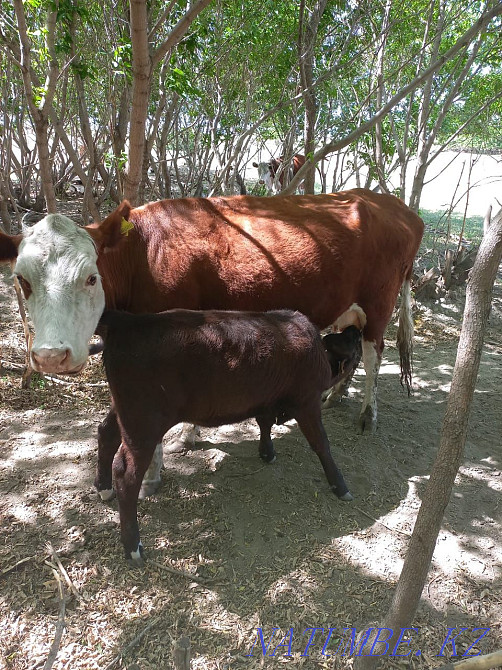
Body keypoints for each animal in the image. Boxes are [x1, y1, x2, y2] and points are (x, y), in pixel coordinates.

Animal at [0, 189, 424, 497]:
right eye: (22, 280)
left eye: (90, 277)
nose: (51, 356)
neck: (143, 256)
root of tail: (398, 206)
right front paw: (186, 439)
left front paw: (153, 476)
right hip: (348, 307)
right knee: (352, 348)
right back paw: (335, 395)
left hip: (378, 304)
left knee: (373, 354)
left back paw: (368, 414)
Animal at [95, 308, 356, 562]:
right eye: (349, 345)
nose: (354, 329)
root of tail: (127, 321)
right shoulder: (307, 401)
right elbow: (321, 443)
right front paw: (340, 485)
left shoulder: (265, 400)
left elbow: (264, 423)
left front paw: (267, 452)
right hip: (143, 422)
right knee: (126, 473)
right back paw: (133, 547)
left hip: (125, 412)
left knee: (105, 433)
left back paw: (104, 489)